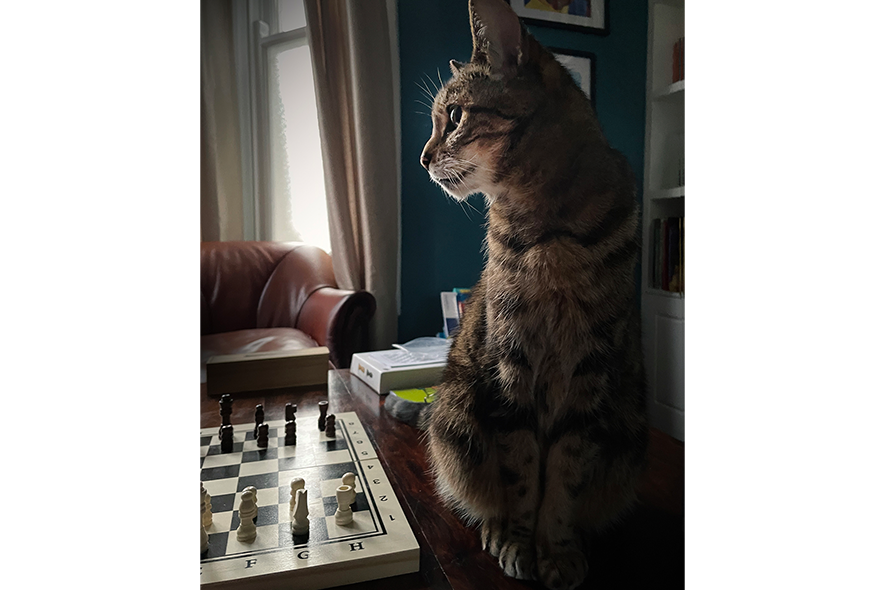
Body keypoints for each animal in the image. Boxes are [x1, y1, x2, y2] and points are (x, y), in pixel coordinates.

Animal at [416, 1, 644, 590]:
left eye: (453, 116)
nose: (423, 158)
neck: (548, 229)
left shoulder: (590, 370)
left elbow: (565, 475)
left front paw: (557, 550)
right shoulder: (510, 362)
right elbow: (520, 471)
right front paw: (520, 542)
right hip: (454, 420)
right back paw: (495, 528)